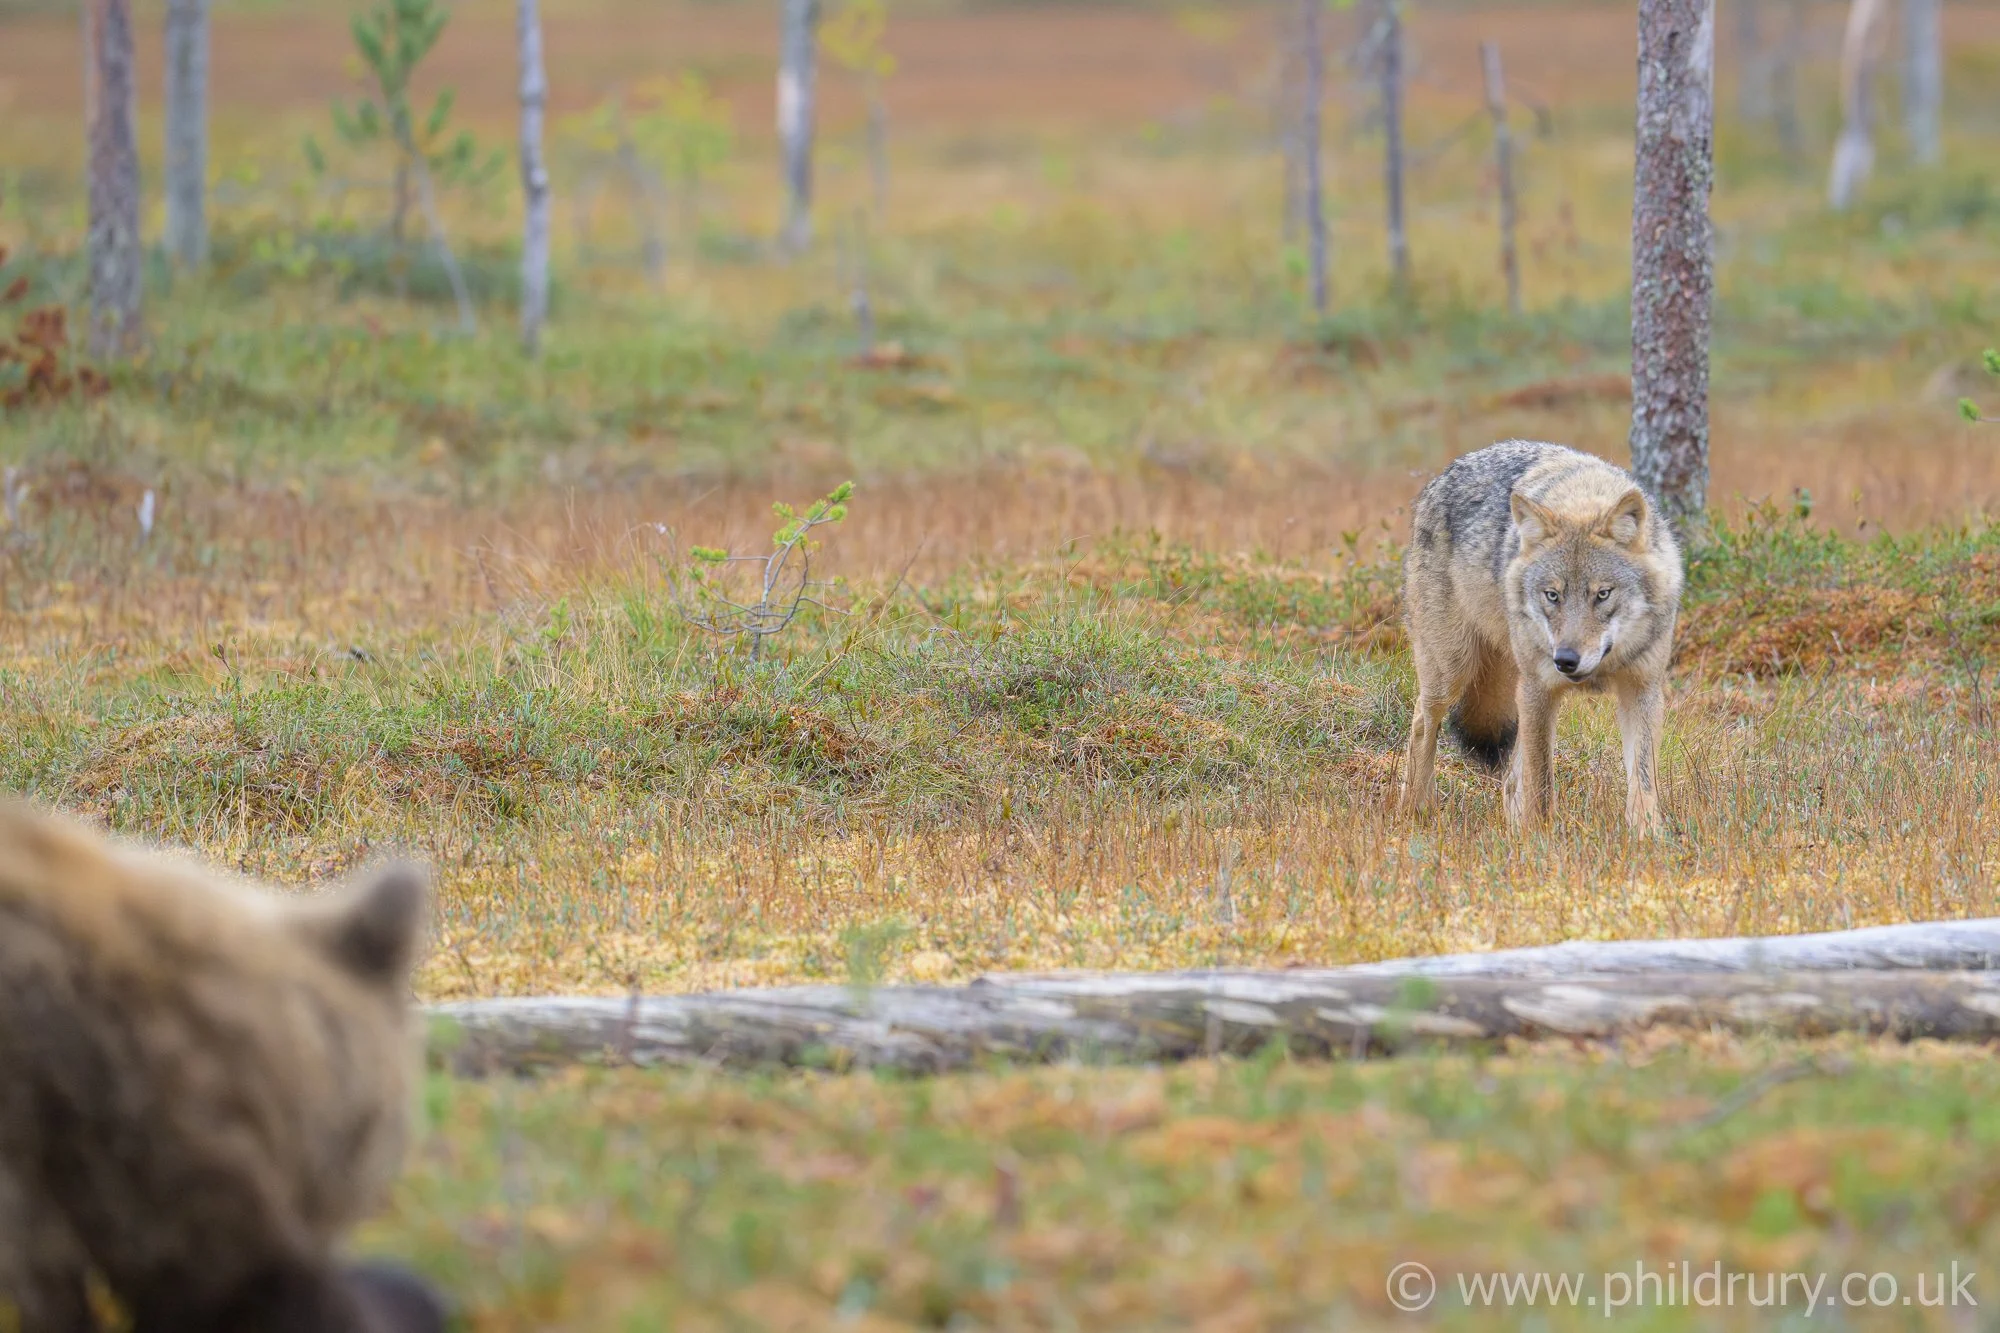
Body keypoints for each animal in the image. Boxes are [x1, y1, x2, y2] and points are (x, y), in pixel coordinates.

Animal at [1394, 440, 1683, 834]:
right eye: (1552, 595)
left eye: (1602, 594)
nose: (1565, 660)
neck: (1582, 495)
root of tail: (1441, 477)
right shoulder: (1541, 688)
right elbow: (1541, 782)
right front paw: (1541, 839)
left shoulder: (1642, 690)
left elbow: (1643, 780)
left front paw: (1648, 837)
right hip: (1453, 673)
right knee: (1423, 725)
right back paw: (1416, 811)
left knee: (1509, 778)